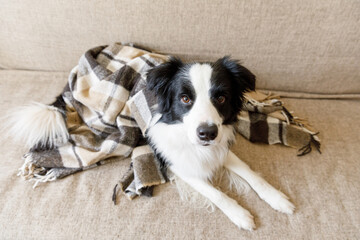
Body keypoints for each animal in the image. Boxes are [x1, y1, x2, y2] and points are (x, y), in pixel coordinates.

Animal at [146, 56, 296, 231]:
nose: (207, 133)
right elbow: (215, 193)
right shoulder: (178, 165)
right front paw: (239, 214)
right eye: (185, 98)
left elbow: (250, 172)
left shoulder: (221, 148)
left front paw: (276, 197)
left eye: (221, 98)